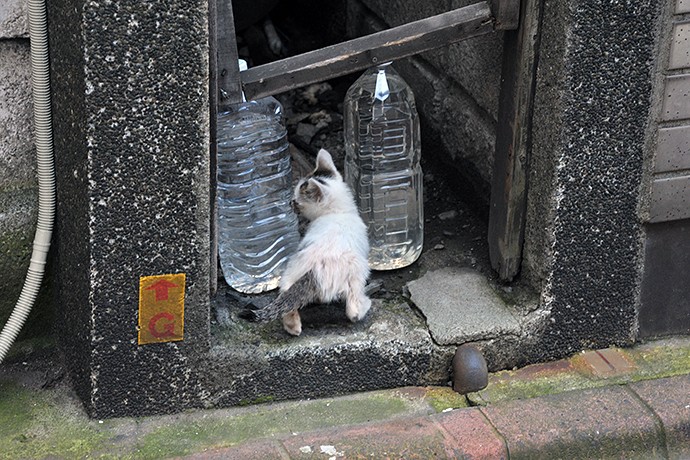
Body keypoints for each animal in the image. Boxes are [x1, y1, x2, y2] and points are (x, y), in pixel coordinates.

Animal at [241, 149, 370, 336]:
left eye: (296, 201)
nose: (290, 202)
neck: (339, 212)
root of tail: (316, 271)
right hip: (357, 273)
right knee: (354, 309)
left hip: (295, 268)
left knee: (286, 293)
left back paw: (293, 327)